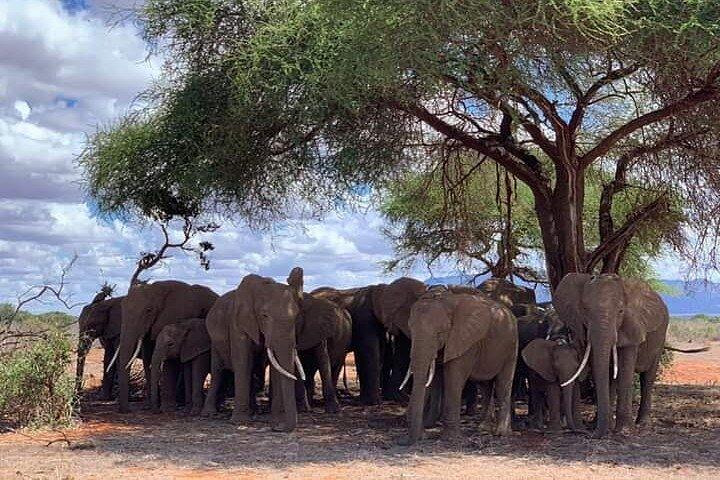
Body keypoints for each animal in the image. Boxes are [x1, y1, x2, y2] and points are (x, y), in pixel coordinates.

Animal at [113, 280, 219, 413]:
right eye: (122, 307)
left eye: (148, 310)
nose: (127, 410)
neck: (158, 288)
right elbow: (148, 356)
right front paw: (149, 406)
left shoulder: (177, 314)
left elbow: (170, 360)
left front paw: (166, 408)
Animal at [202, 268, 304, 432]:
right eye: (265, 315)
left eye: (296, 317)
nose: (279, 428)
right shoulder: (238, 322)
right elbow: (242, 361)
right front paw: (239, 422)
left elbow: (276, 367)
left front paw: (276, 420)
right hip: (214, 340)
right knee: (218, 370)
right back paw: (210, 414)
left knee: (253, 369)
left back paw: (254, 411)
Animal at [401, 287, 518, 445]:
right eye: (410, 330)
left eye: (440, 332)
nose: (412, 441)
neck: (447, 301)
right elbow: (432, 377)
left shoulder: (465, 341)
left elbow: (453, 378)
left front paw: (450, 439)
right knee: (485, 386)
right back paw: (483, 429)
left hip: (511, 346)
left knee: (502, 384)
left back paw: (501, 434)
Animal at [553, 273, 669, 437]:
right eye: (585, 310)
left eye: (620, 311)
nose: (589, 434)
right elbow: (599, 367)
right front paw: (604, 427)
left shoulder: (632, 325)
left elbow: (626, 367)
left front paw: (624, 432)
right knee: (613, 376)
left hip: (661, 337)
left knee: (648, 377)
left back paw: (643, 425)